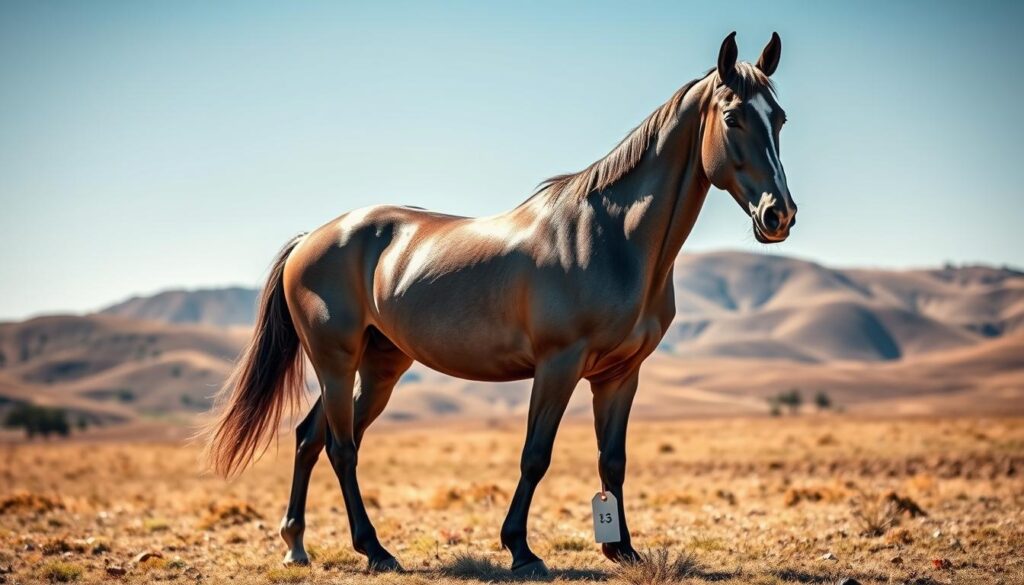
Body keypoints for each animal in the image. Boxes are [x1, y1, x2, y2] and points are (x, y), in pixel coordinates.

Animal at [205, 32, 798, 577]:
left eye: (780, 118)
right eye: (733, 117)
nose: (779, 215)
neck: (612, 238)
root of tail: (313, 238)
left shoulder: (620, 374)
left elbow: (613, 461)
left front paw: (622, 549)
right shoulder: (558, 365)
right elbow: (535, 456)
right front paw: (521, 550)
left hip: (380, 364)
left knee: (311, 437)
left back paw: (296, 546)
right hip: (335, 360)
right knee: (341, 447)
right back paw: (375, 550)